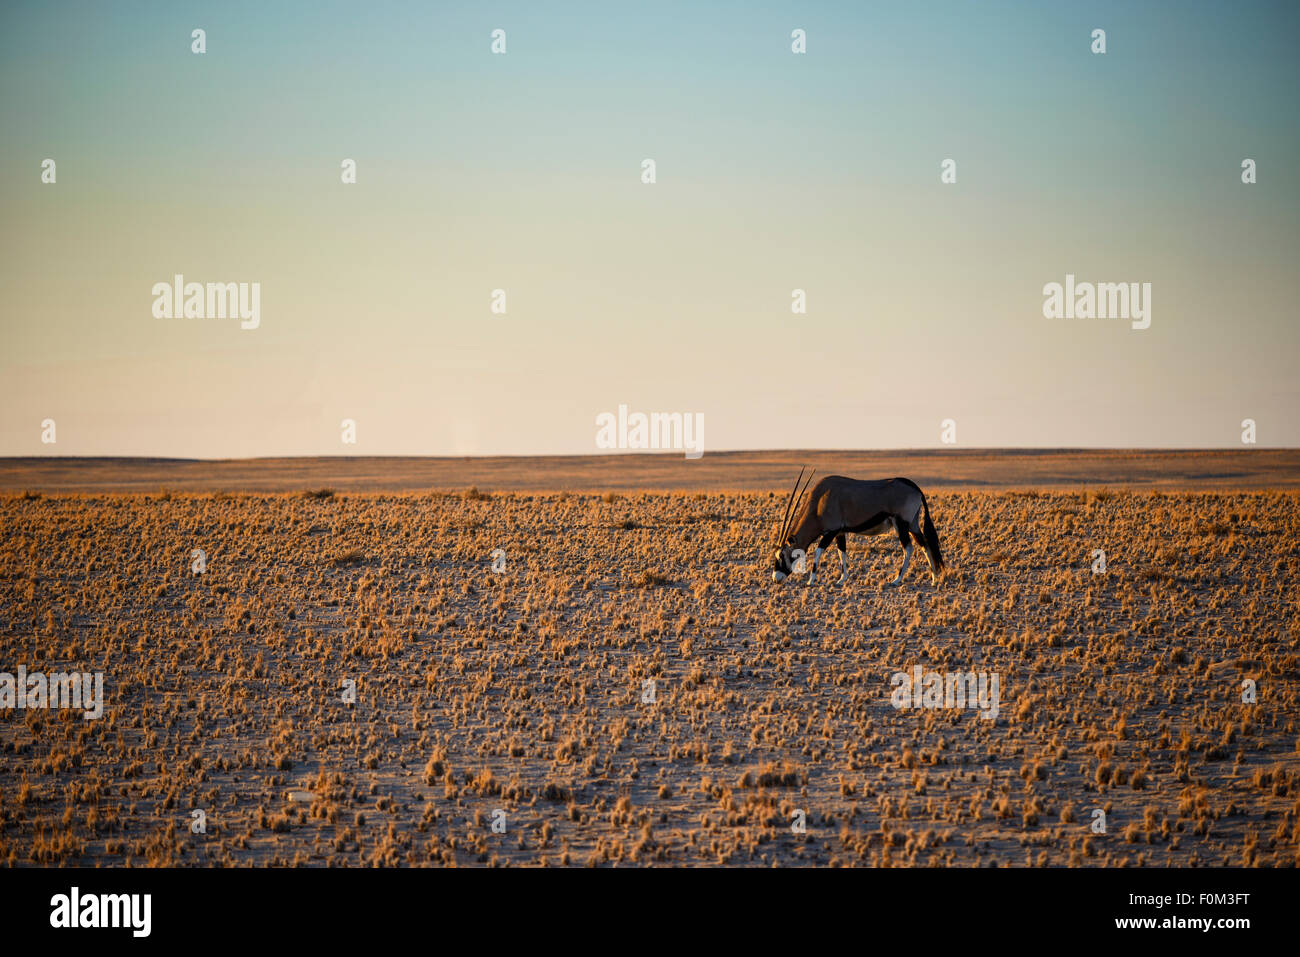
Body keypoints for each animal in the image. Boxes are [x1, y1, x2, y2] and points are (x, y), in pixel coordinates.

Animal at [769, 468, 946, 587]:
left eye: (782, 555)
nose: (776, 578)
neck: (819, 502)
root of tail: (915, 487)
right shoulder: (840, 532)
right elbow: (842, 552)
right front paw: (842, 579)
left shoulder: (831, 531)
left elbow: (819, 551)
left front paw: (811, 580)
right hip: (913, 525)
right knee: (924, 545)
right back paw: (934, 578)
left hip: (901, 524)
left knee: (908, 548)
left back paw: (897, 580)